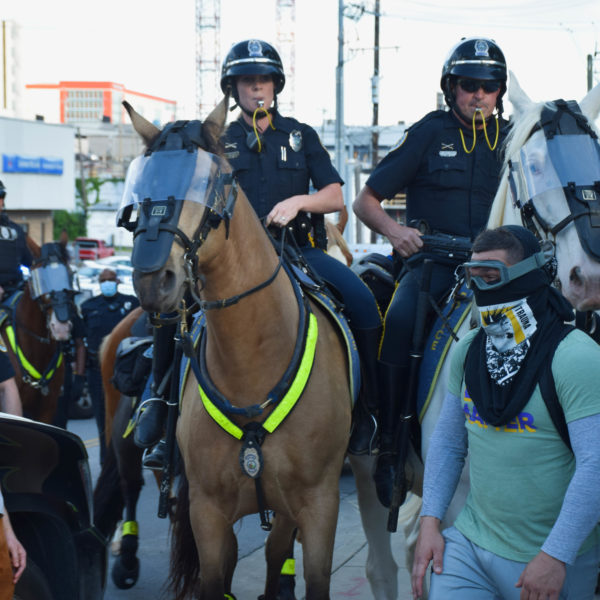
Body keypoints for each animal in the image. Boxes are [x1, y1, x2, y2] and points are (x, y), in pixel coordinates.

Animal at [122, 96, 354, 596]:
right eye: (142, 185)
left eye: (210, 182)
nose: (152, 279)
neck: (253, 364)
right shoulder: (207, 513)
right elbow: (216, 575)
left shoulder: (318, 505)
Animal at [346, 74, 600, 600]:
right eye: (534, 163)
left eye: (596, 157)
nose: (588, 277)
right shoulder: (450, 514)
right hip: (364, 470)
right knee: (383, 565)